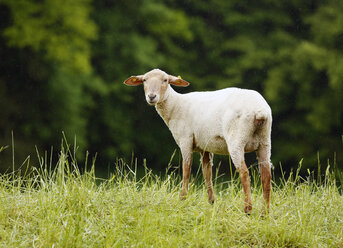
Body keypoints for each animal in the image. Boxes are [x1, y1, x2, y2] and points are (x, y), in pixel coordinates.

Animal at [123, 68, 272, 213]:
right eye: (144, 80)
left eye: (165, 80)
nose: (151, 96)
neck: (175, 106)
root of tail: (260, 111)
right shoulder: (205, 146)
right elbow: (207, 173)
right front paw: (211, 202)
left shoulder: (185, 140)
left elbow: (186, 170)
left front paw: (182, 199)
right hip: (264, 141)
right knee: (266, 174)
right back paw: (264, 212)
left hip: (236, 139)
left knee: (244, 173)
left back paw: (248, 209)